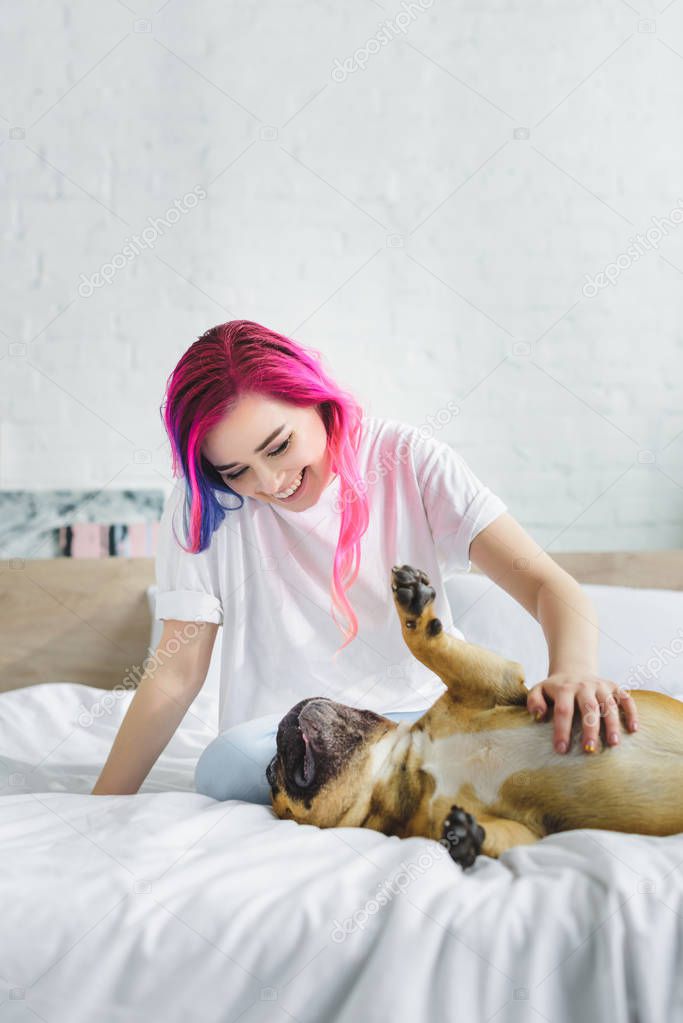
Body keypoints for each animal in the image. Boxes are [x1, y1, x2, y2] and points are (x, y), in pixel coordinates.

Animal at [265, 564, 683, 867]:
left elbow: (429, 649)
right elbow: (500, 836)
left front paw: (414, 608)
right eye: (272, 775)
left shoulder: (486, 683)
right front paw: (466, 840)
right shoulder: (525, 830)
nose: (281, 727)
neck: (405, 769)